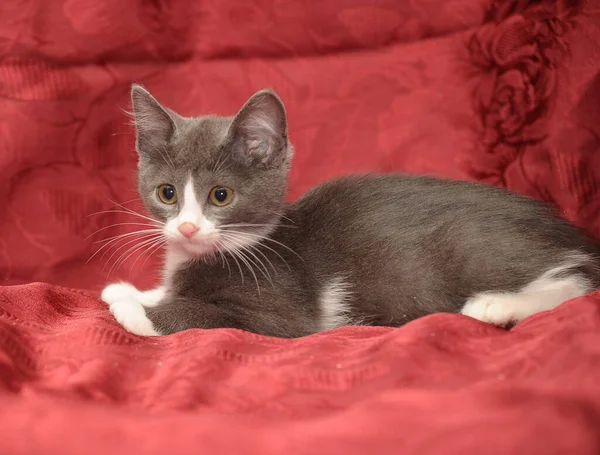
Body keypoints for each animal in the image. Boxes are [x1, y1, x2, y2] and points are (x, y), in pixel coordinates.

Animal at [101, 84, 600, 338]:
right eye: (167, 193)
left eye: (220, 196)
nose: (186, 227)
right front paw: (134, 290)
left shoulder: (285, 312)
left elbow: (202, 314)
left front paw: (136, 308)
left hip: (470, 244)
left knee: (578, 281)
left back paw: (497, 305)